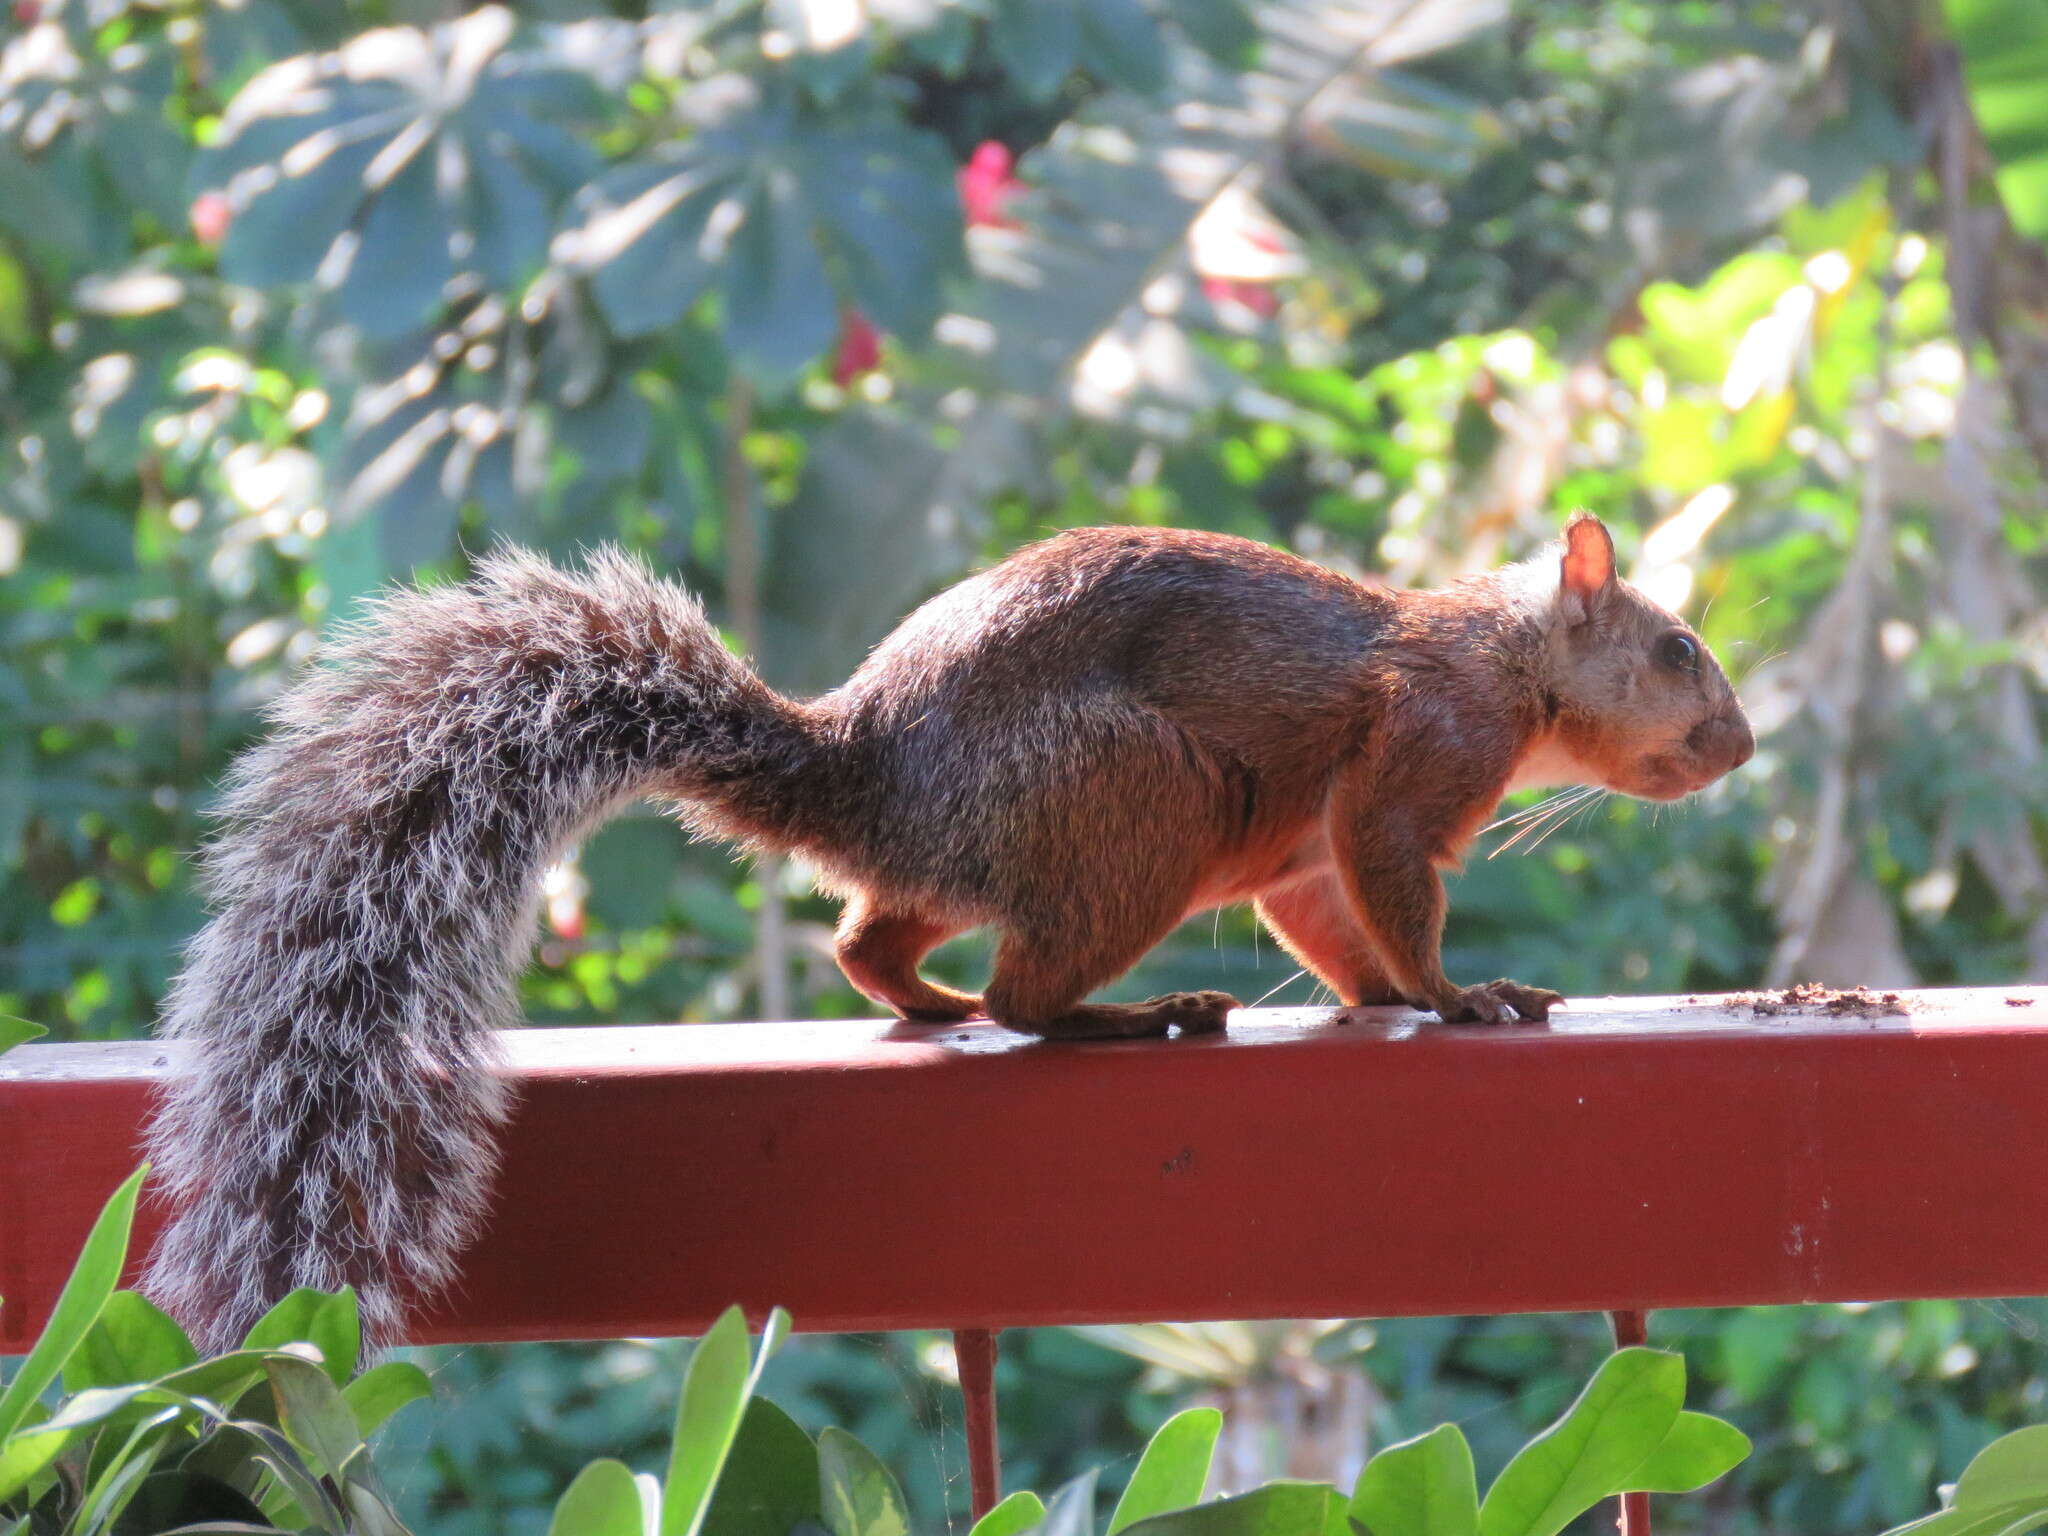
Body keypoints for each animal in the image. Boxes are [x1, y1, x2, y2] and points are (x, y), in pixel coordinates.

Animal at [144, 514, 1753, 1343]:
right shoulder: (1410, 755)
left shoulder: (1300, 863)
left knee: (874, 942)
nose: (1741, 746)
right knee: (1026, 995)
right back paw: (1129, 1016)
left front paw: (1376, 999)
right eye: (1679, 650)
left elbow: (1326, 922)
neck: (1506, 654)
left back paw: (926, 1007)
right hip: (1136, 807)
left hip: (1002, 854)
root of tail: (860, 764)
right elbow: (1392, 882)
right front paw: (1460, 994)